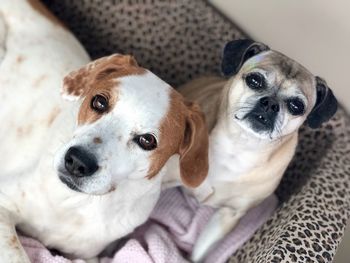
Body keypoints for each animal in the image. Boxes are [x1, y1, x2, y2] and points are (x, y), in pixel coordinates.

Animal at [0, 1, 208, 262]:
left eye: (147, 140)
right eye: (99, 102)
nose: (77, 162)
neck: (76, 204)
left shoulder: (86, 255)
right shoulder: (4, 204)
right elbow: (18, 253)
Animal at [176, 39, 338, 262]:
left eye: (296, 106)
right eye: (255, 80)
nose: (270, 103)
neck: (239, 145)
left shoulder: (228, 216)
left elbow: (201, 251)